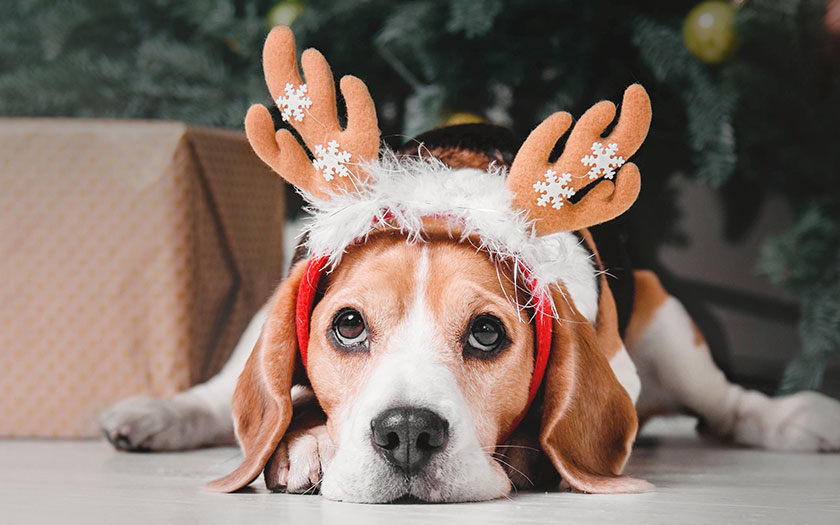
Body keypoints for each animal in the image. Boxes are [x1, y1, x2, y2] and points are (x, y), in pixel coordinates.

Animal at [101, 26, 840, 502]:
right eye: (347, 325)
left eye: (488, 333)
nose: (406, 433)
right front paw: (306, 441)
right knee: (216, 395)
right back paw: (156, 415)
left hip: (668, 323)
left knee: (731, 406)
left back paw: (798, 418)